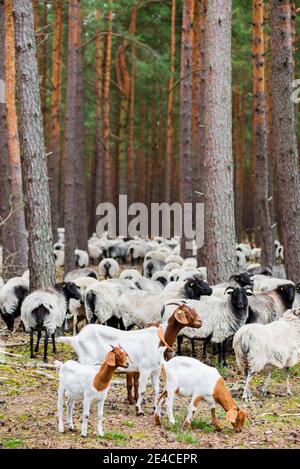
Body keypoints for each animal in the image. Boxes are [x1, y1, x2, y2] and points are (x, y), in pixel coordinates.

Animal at [56, 300, 202, 414]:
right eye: (186, 311)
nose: (200, 322)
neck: (158, 339)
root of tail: (76, 338)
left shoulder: (155, 371)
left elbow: (156, 390)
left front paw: (155, 409)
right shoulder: (144, 370)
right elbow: (142, 390)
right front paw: (139, 409)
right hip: (87, 362)